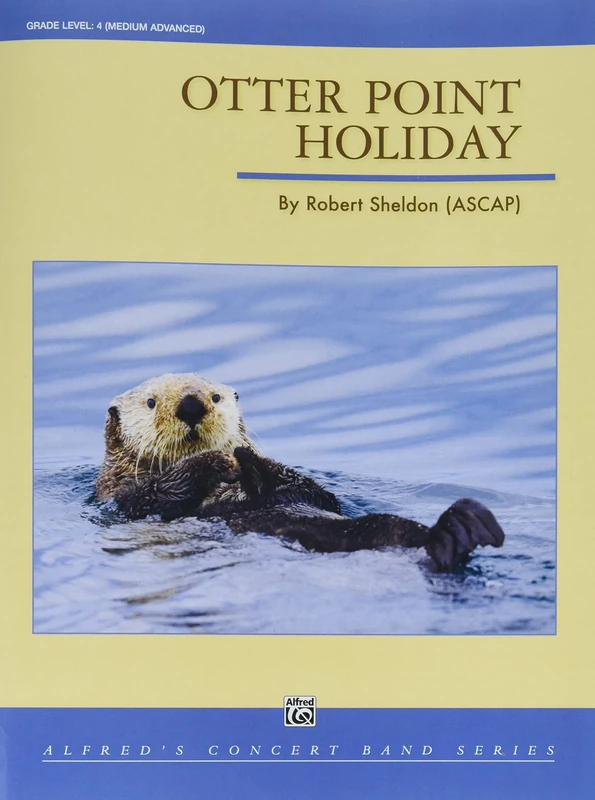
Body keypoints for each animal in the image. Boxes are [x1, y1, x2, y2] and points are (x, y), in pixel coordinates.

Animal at [96, 373, 505, 572]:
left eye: (215, 397)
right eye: (151, 403)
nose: (192, 405)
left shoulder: (313, 494)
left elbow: (316, 493)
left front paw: (246, 457)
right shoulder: (122, 499)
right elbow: (157, 494)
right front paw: (218, 461)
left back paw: (465, 527)